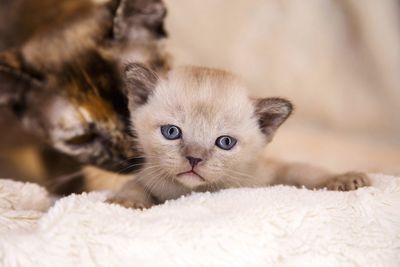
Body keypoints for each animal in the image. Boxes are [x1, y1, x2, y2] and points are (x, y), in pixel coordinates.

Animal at [108, 64, 368, 209]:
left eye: (225, 142)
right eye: (171, 132)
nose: (194, 159)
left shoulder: (271, 172)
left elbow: (304, 171)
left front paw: (343, 179)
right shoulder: (148, 177)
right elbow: (133, 185)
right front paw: (126, 202)